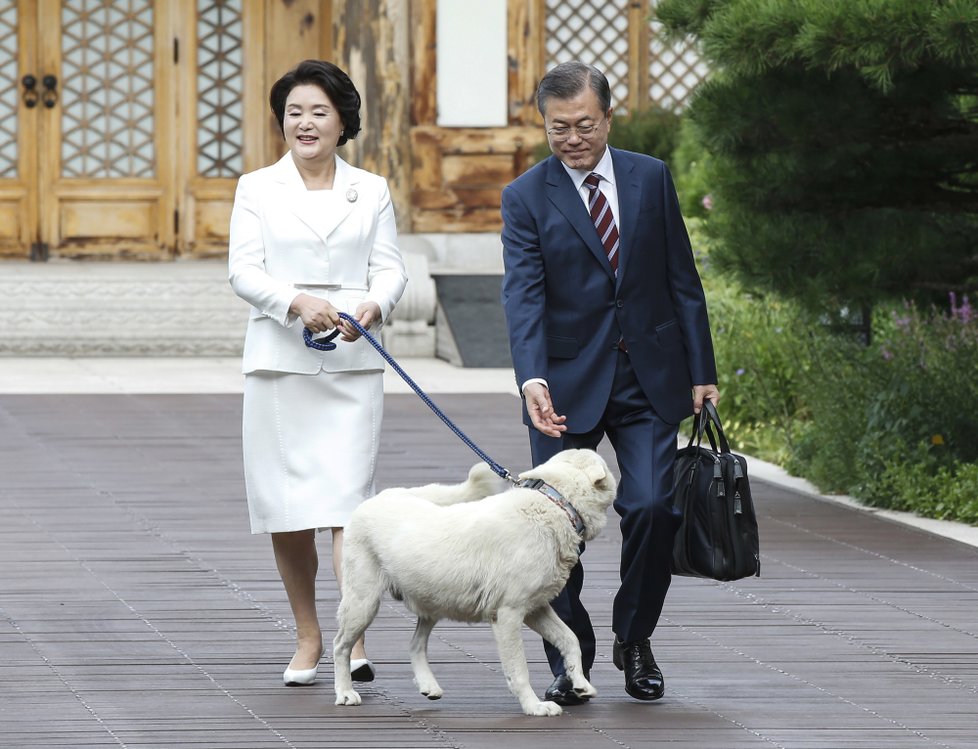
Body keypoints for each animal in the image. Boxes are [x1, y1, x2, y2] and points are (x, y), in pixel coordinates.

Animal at [332, 448, 612, 716]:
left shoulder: (536, 609)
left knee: (415, 645)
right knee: (340, 646)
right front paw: (534, 707)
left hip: (431, 600)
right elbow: (519, 670)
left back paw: (428, 685)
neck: (556, 504)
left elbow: (570, 639)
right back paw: (345, 693)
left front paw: (580, 684)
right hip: (363, 603)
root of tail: (383, 495)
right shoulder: (508, 614)